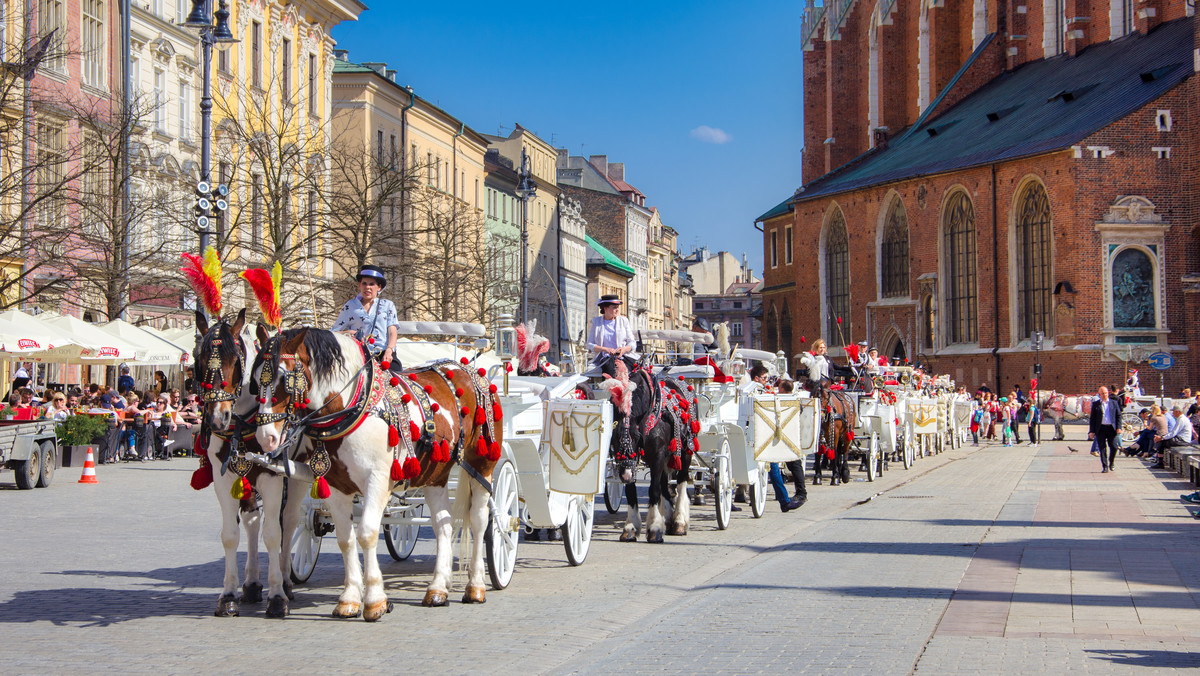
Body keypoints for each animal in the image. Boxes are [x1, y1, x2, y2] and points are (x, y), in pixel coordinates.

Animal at [189, 309, 307, 619]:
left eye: (235, 359)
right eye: (198, 359)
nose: (218, 418)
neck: (244, 422)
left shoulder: (272, 476)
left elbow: (273, 534)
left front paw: (277, 597)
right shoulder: (225, 479)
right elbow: (231, 535)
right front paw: (228, 596)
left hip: (297, 478)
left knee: (289, 521)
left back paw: (285, 581)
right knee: (253, 521)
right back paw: (252, 583)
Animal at [250, 326, 499, 619]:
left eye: (284, 380)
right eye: (254, 381)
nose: (265, 438)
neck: (351, 408)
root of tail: (467, 368)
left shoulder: (378, 481)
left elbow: (367, 533)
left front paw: (375, 601)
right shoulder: (336, 487)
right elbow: (346, 539)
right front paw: (349, 599)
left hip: (482, 464)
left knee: (480, 520)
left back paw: (476, 586)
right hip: (434, 475)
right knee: (443, 524)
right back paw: (438, 588)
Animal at [604, 360, 700, 545]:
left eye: (636, 436)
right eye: (613, 437)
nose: (625, 475)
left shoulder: (657, 455)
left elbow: (653, 490)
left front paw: (654, 528)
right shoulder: (633, 462)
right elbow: (632, 492)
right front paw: (630, 528)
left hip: (686, 450)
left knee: (682, 481)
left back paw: (679, 522)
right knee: (665, 484)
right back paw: (668, 519)